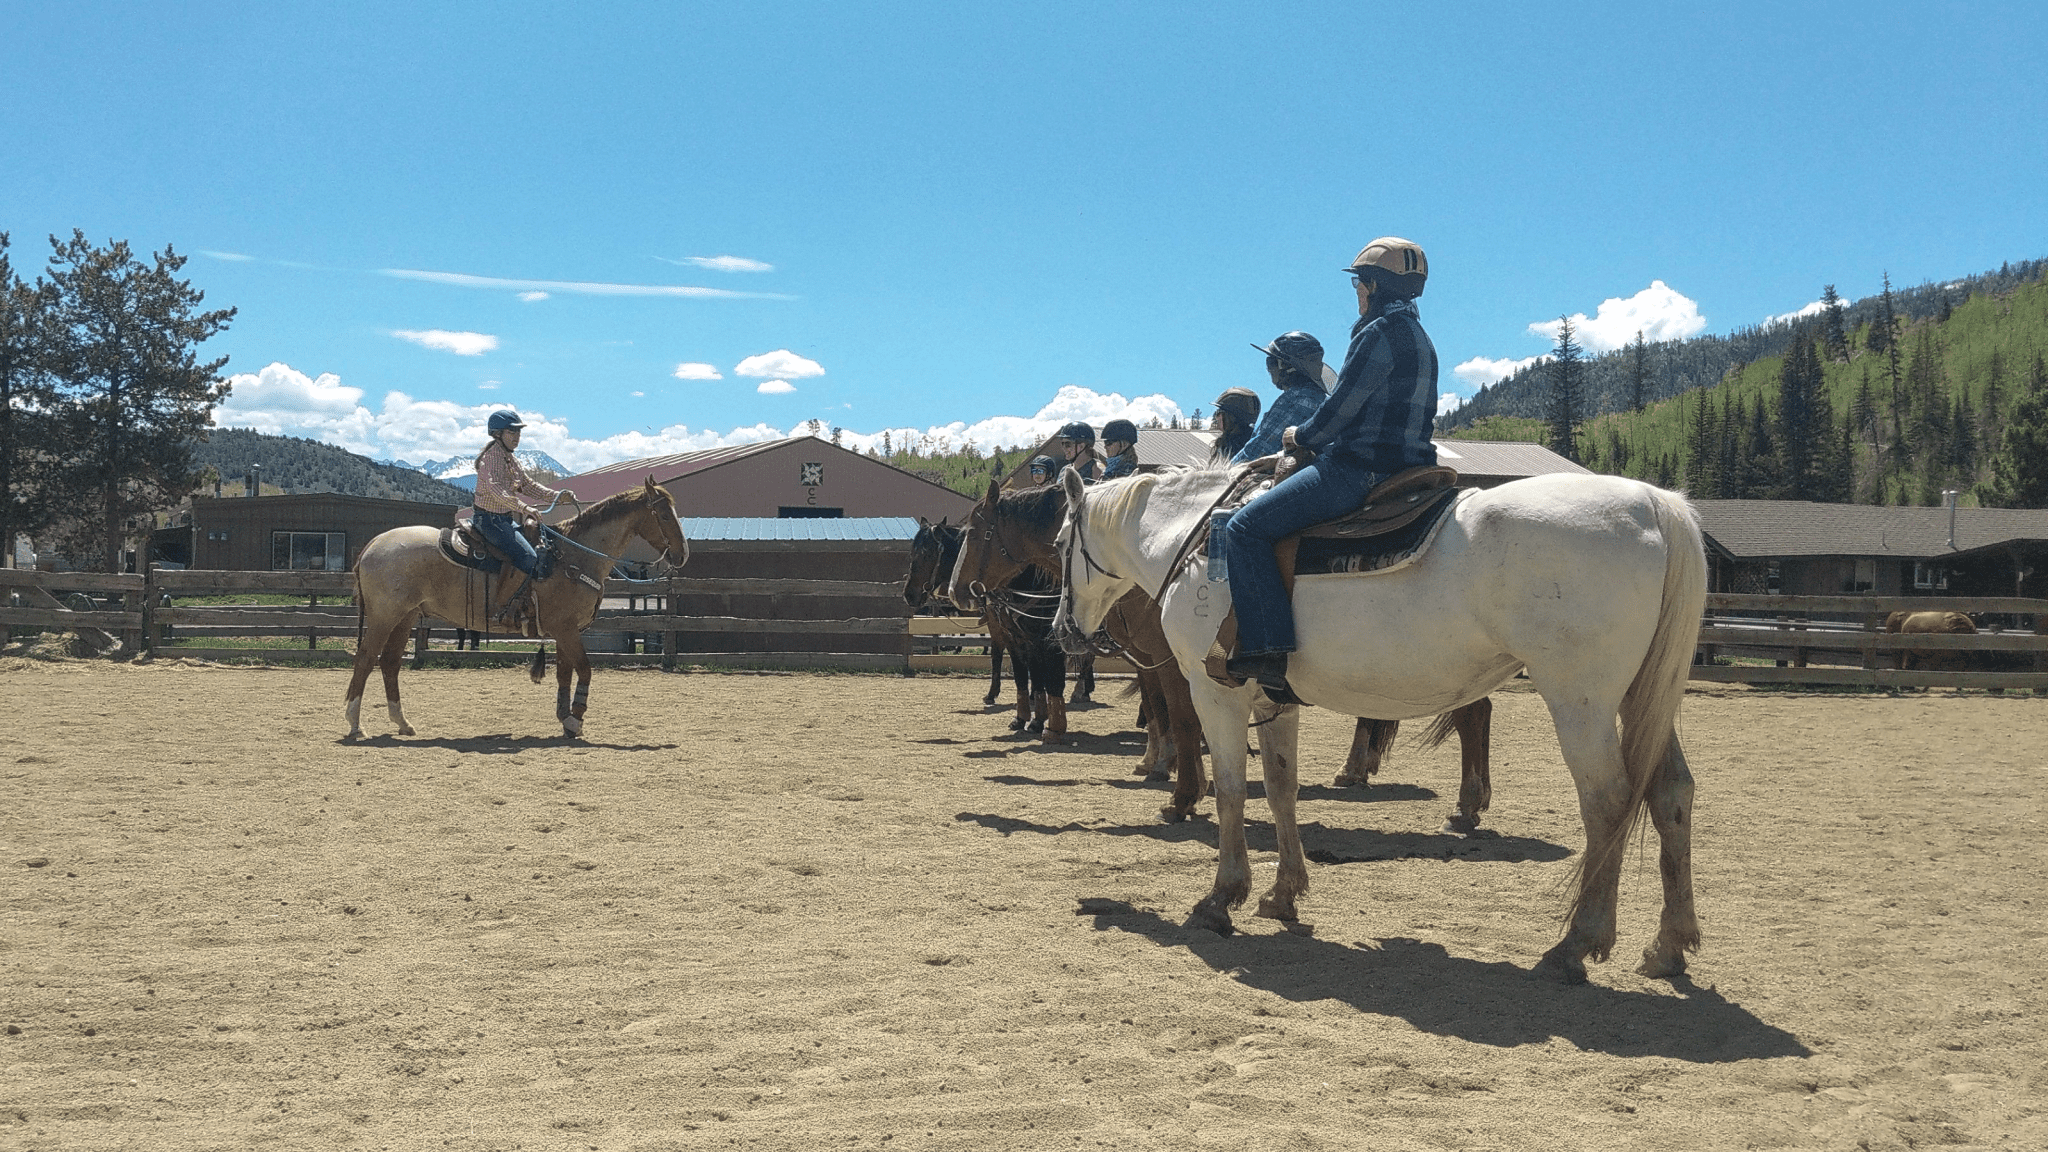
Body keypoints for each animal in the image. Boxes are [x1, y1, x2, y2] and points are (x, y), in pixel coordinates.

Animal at [339, 479, 684, 737]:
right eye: (665, 515)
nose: (682, 554)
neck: (573, 556)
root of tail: (373, 545)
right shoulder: (566, 629)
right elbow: (584, 669)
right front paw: (576, 718)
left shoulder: (564, 631)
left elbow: (564, 673)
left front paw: (565, 717)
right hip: (385, 616)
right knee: (366, 659)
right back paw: (356, 725)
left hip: (406, 616)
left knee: (390, 663)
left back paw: (402, 723)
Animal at [1056, 461, 1712, 983]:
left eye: (1061, 540)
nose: (1064, 630)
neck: (1200, 543)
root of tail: (1652, 502)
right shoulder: (1274, 702)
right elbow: (1283, 789)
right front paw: (1283, 893)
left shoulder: (1217, 695)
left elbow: (1234, 794)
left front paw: (1222, 898)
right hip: (1638, 695)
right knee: (1671, 792)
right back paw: (1669, 945)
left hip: (1582, 699)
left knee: (1608, 802)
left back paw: (1576, 944)